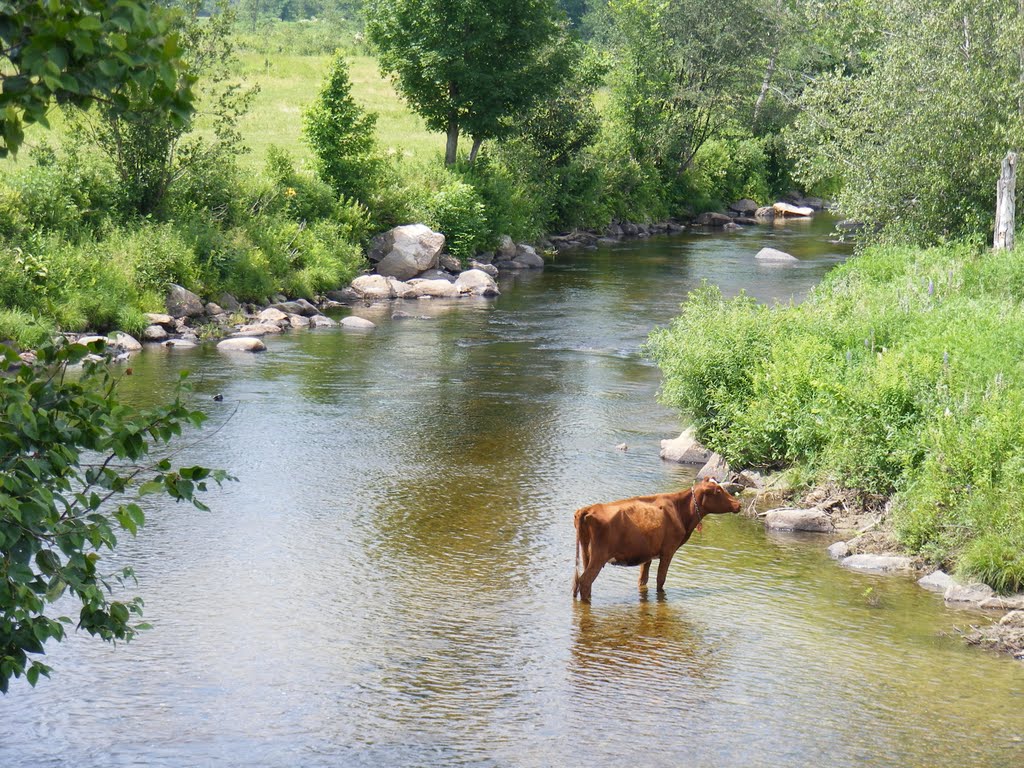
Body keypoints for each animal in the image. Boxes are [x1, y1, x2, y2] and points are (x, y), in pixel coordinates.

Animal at [569, 481, 745, 602]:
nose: (739, 504)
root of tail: (588, 509)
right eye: (718, 491)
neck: (679, 509)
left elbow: (643, 580)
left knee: (582, 582)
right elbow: (661, 580)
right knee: (585, 581)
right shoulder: (668, 551)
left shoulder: (647, 555)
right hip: (599, 556)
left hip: (586, 554)